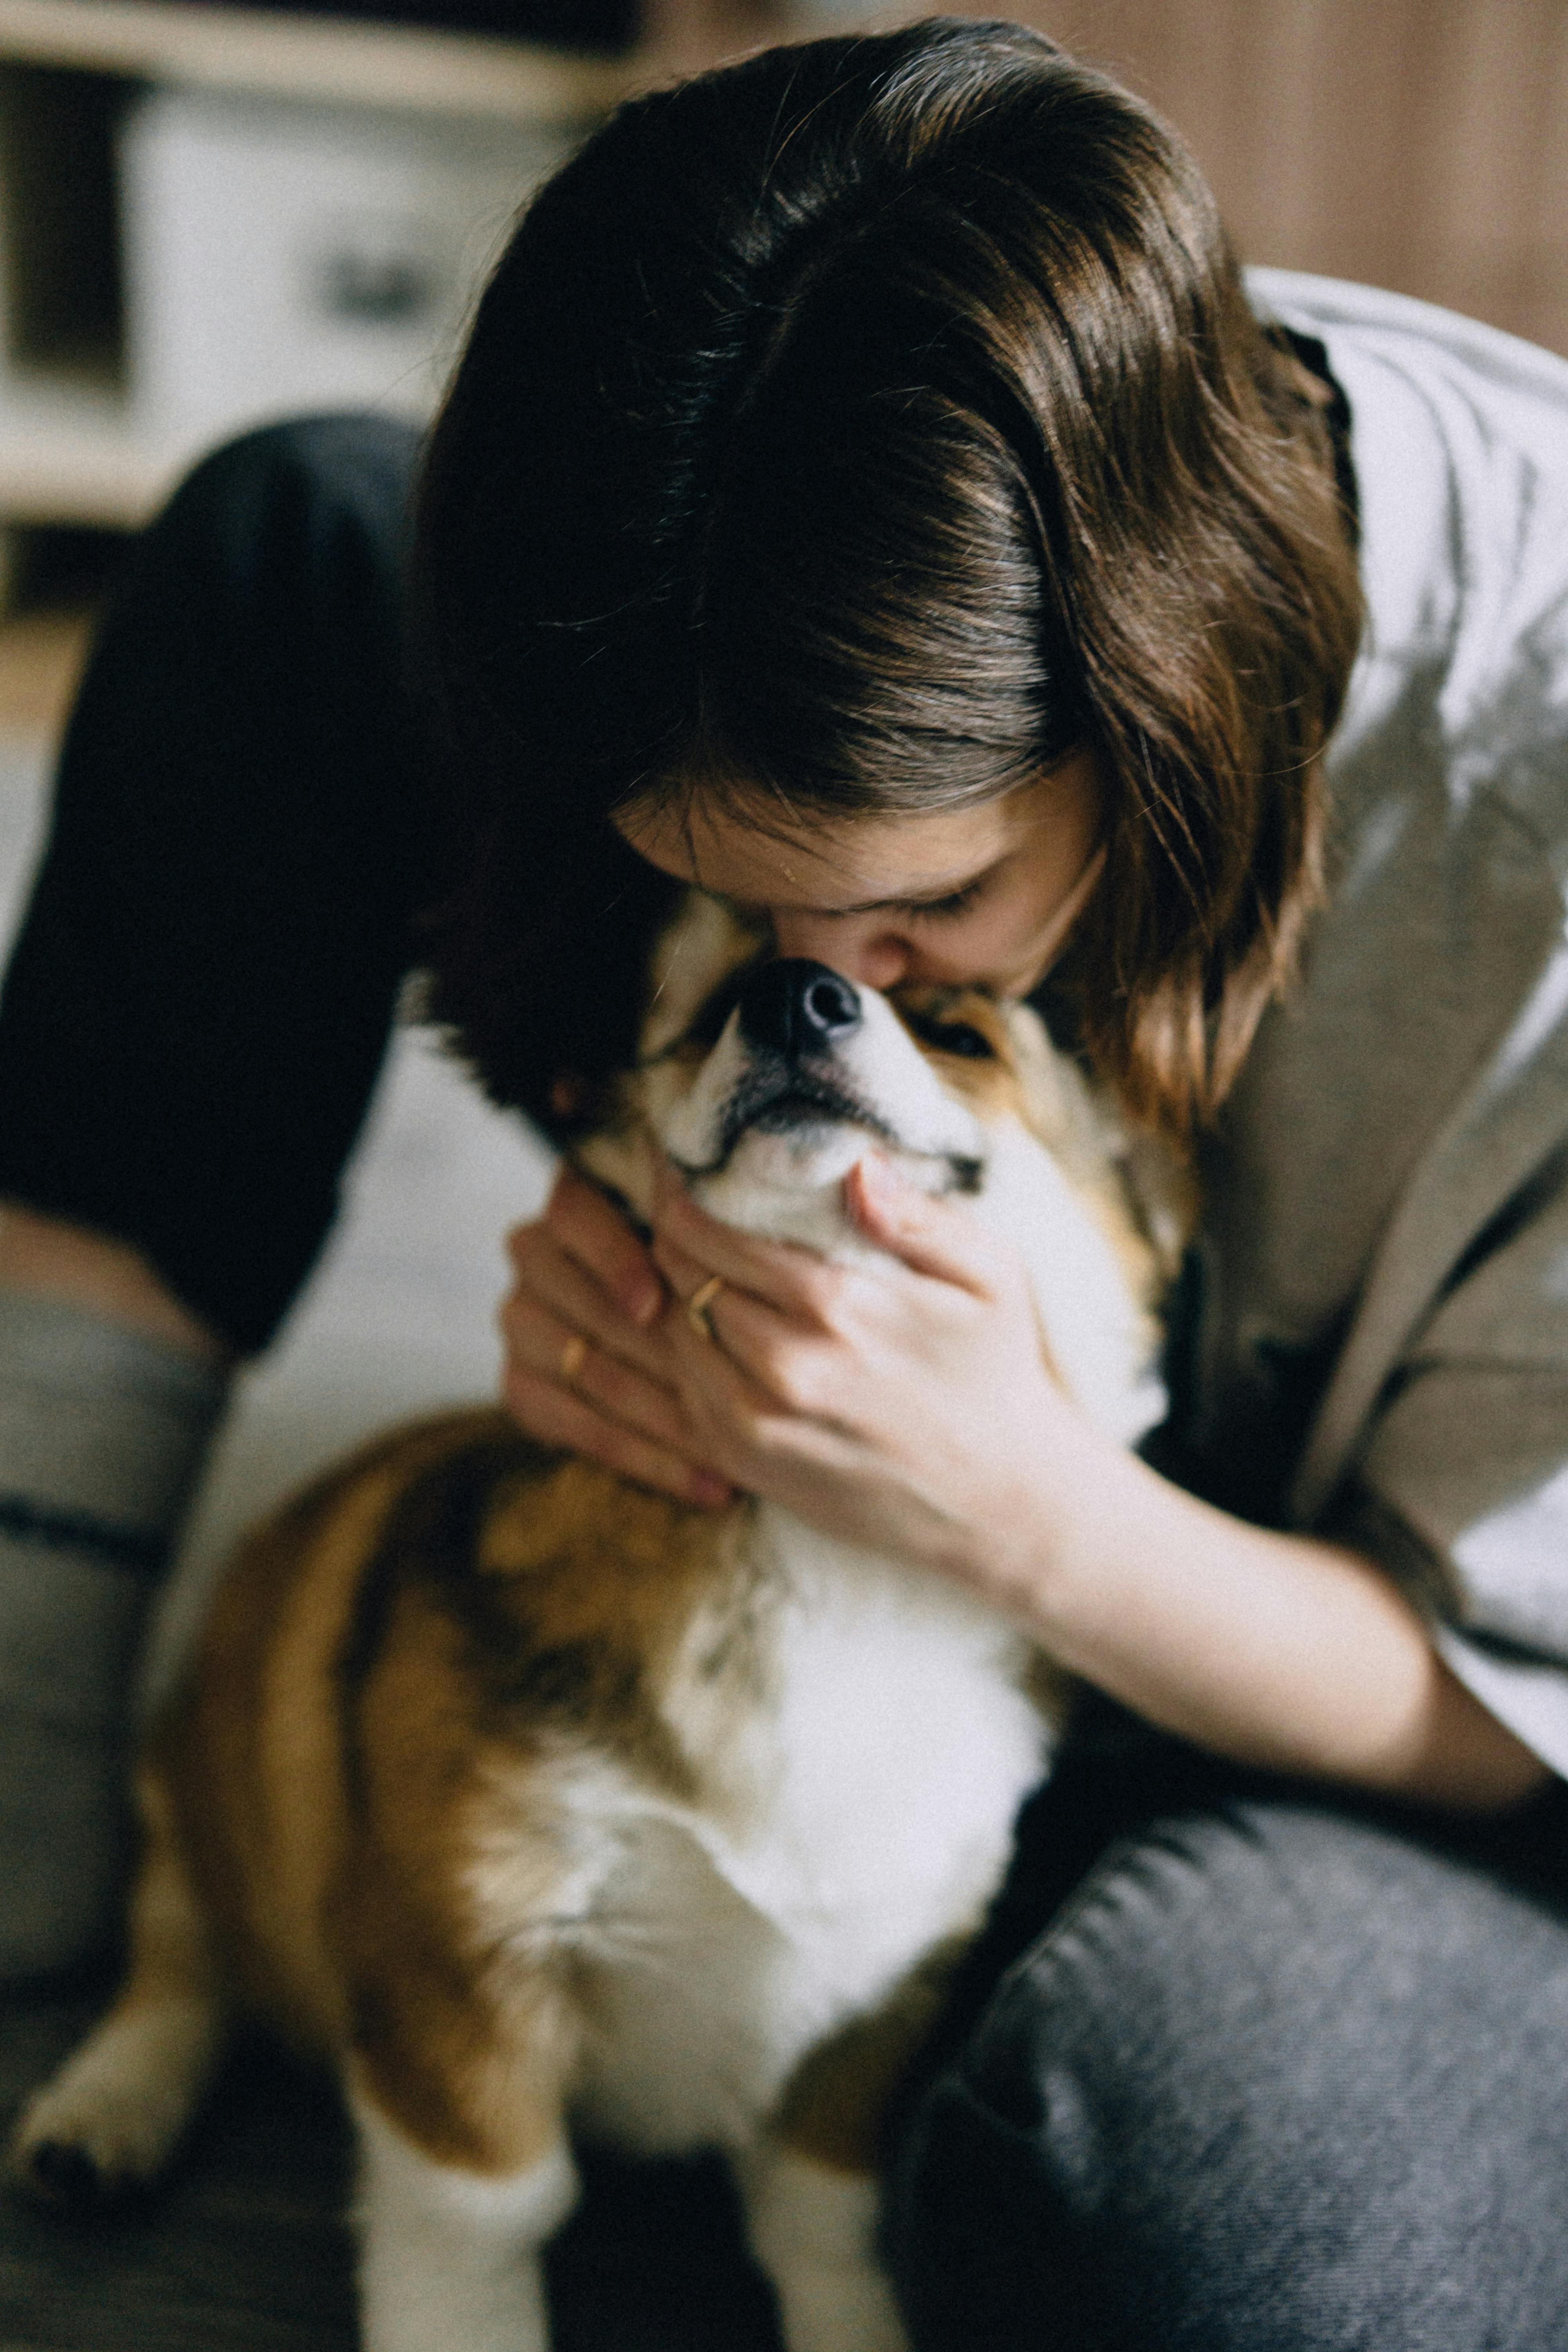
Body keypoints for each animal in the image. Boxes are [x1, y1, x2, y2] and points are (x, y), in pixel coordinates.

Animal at [12, 889, 1185, 2343]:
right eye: (715, 1008)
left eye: (963, 1034)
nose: (794, 997)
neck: (814, 1549)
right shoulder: (465, 1960)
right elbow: (488, 2215)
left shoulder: (882, 2006)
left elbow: (821, 2219)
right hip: (198, 1810)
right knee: (180, 1965)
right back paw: (106, 2114)